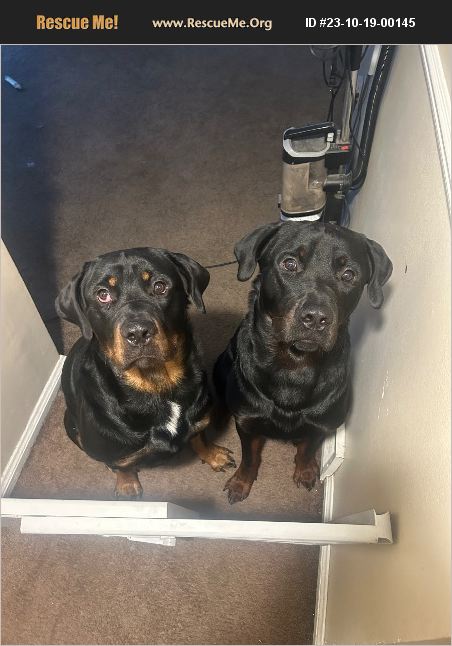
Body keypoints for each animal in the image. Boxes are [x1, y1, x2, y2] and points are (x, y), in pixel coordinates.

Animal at [56, 247, 235, 499]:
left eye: (160, 286)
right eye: (103, 294)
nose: (138, 332)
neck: (156, 384)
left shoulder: (200, 416)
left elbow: (199, 436)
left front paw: (213, 455)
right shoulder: (115, 452)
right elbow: (122, 465)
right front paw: (127, 485)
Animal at [214, 221, 392, 504]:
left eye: (349, 274)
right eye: (289, 264)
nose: (316, 318)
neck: (295, 364)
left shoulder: (322, 423)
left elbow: (308, 449)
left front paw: (306, 470)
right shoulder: (248, 422)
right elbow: (249, 457)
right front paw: (241, 482)